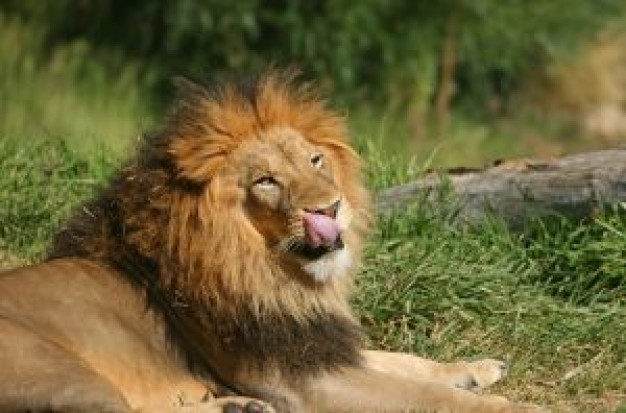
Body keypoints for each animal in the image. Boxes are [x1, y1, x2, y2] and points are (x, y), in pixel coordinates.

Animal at [0, 72, 540, 410]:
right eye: (265, 182)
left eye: (315, 161)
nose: (330, 209)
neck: (270, 272)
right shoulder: (302, 384)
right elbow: (429, 398)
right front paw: (512, 407)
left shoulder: (311, 346)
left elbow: (403, 363)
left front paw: (476, 368)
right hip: (62, 370)